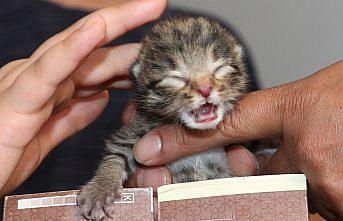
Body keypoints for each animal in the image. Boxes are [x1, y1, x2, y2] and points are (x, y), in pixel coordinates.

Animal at [78, 16, 250, 220]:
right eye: (175, 78)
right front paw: (100, 190)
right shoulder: (139, 128)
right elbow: (117, 153)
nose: (205, 89)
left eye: (219, 68)